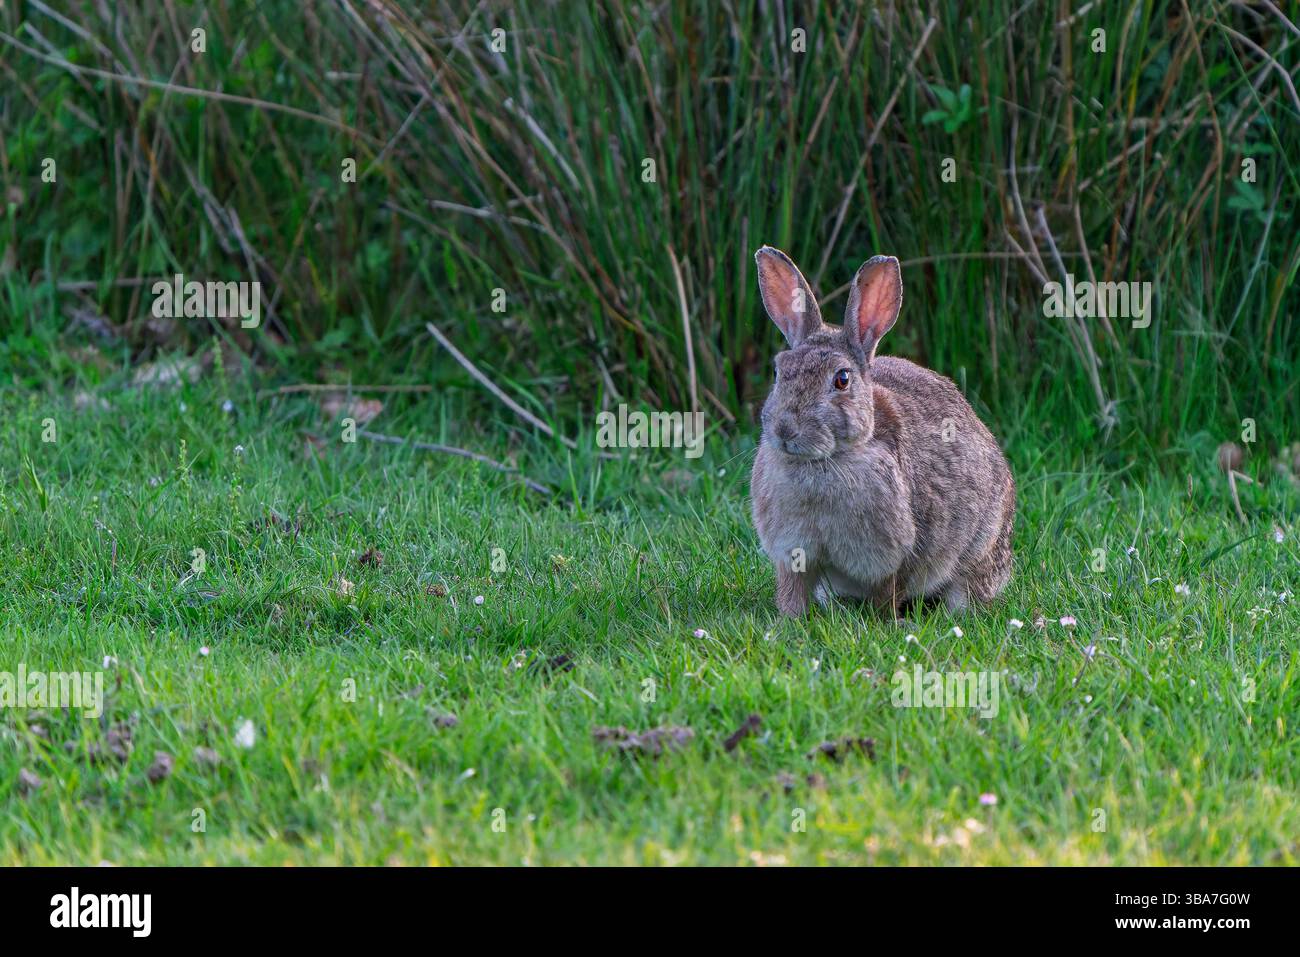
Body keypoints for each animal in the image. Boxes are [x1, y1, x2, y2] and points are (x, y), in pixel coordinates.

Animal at [749, 246, 1014, 617]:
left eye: (842, 379)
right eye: (778, 371)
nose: (785, 429)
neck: (827, 460)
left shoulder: (901, 552)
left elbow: (889, 589)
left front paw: (886, 620)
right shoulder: (792, 553)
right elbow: (793, 588)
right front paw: (790, 618)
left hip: (980, 550)